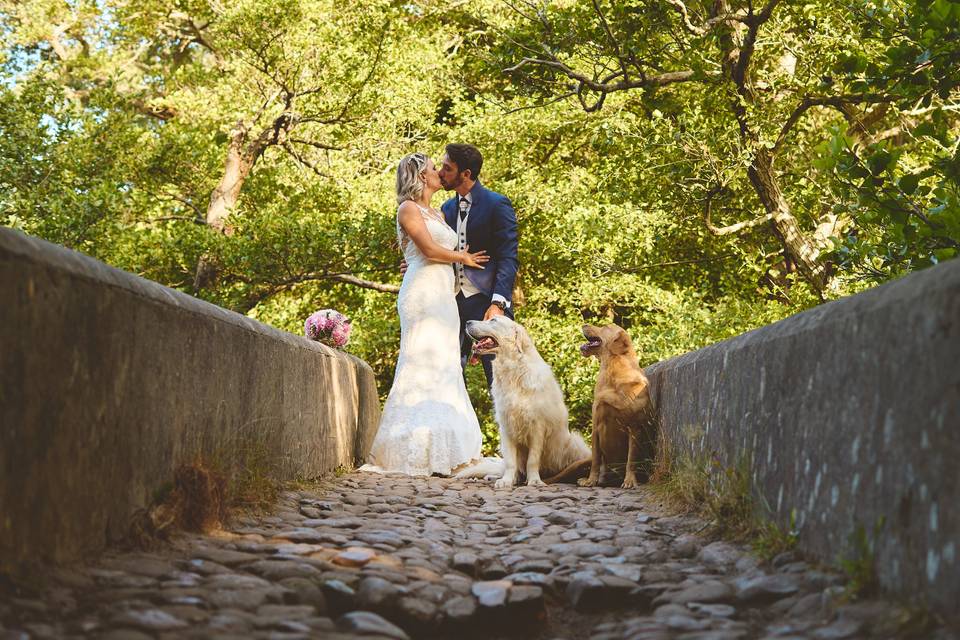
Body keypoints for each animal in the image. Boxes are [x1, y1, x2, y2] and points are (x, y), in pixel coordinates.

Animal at [464, 318, 588, 488]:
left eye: (493, 320)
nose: (467, 322)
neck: (514, 371)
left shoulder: (537, 426)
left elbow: (533, 460)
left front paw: (534, 480)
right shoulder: (507, 425)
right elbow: (511, 462)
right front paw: (506, 481)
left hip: (576, 443)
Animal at [552, 322, 656, 488]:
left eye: (605, 326)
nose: (584, 323)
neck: (612, 370)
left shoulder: (634, 428)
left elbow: (631, 459)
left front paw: (629, 480)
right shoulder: (596, 426)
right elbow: (596, 460)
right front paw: (590, 480)